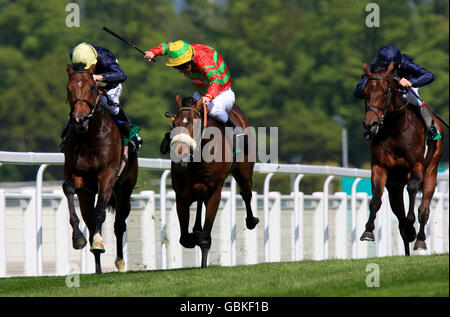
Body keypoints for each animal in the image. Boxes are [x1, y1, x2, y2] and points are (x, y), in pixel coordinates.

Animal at [62, 63, 138, 272]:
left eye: (93, 88)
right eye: (68, 89)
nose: (79, 119)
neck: (90, 137)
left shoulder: (107, 176)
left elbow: (100, 212)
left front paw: (98, 241)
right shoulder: (75, 175)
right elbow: (69, 190)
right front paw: (78, 239)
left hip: (124, 189)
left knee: (119, 224)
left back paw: (119, 262)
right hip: (87, 194)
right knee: (89, 221)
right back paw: (97, 267)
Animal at [170, 94, 260, 266]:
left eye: (195, 123)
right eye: (174, 123)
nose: (180, 155)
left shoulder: (214, 192)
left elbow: (205, 239)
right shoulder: (181, 194)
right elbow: (184, 238)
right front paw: (193, 236)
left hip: (244, 171)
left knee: (246, 193)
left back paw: (251, 221)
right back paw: (196, 229)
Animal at [358, 61, 442, 254]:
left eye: (385, 91)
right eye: (365, 92)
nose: (370, 124)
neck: (394, 129)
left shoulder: (416, 165)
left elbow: (412, 189)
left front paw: (412, 227)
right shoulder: (380, 167)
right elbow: (375, 199)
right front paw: (368, 231)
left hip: (432, 171)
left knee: (423, 209)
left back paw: (420, 239)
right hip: (395, 186)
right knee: (399, 215)